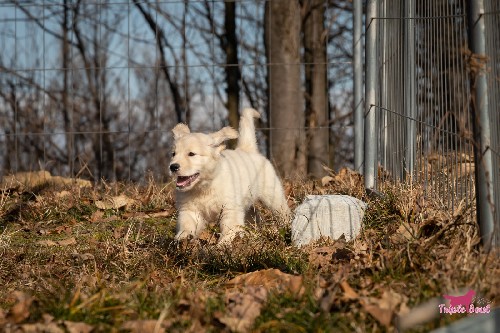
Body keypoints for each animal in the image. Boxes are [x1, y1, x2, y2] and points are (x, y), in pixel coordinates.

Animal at [170, 107, 292, 243]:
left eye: (191, 154)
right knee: (253, 215)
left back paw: (287, 225)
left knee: (282, 211)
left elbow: (229, 228)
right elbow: (187, 223)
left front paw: (224, 244)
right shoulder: (189, 209)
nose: (173, 167)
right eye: (173, 154)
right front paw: (183, 237)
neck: (204, 186)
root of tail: (247, 149)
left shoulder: (230, 208)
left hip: (273, 195)